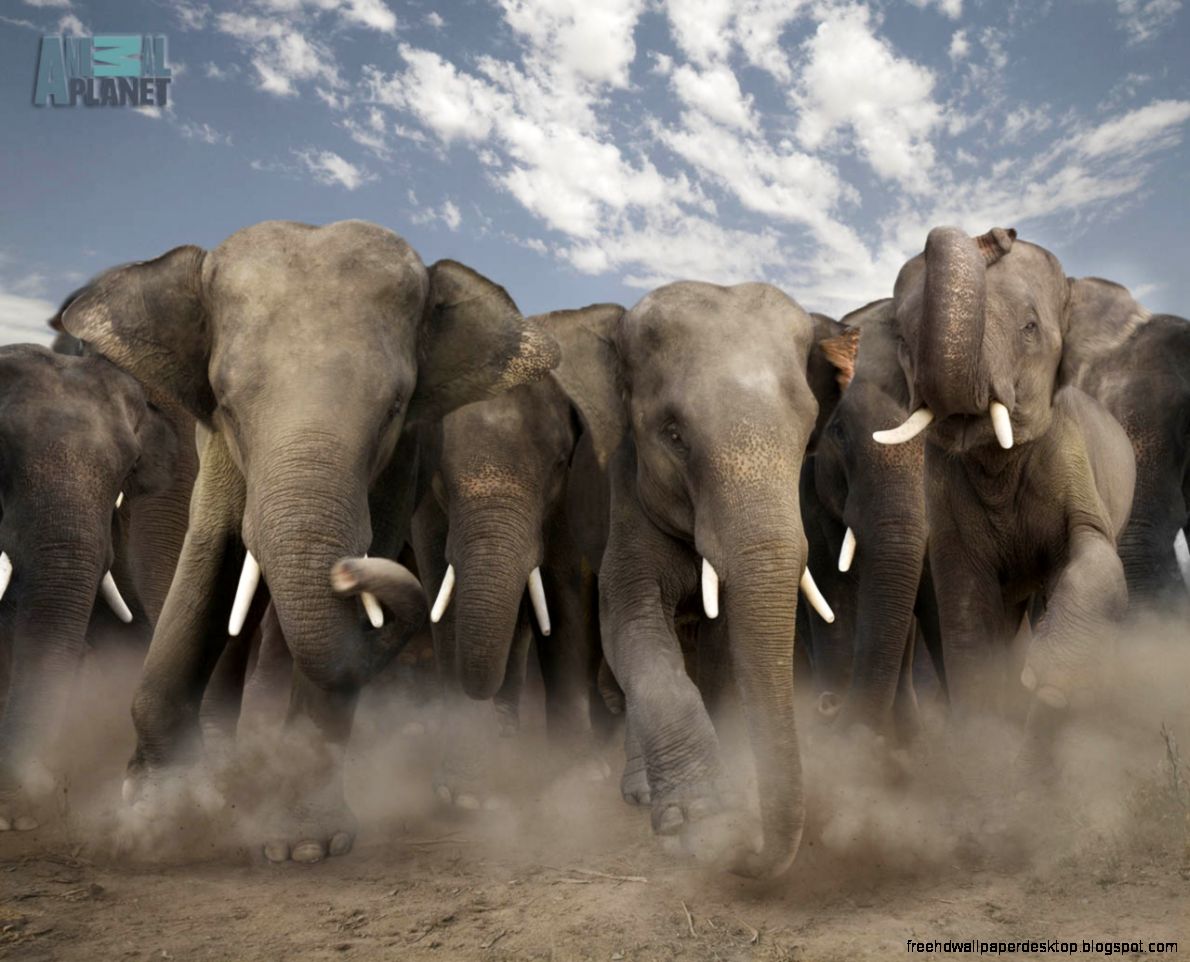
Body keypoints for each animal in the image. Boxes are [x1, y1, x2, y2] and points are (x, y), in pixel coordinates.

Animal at [59, 219, 560, 863]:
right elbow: (210, 556)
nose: (347, 572)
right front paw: (153, 810)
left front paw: (303, 848)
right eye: (226, 403)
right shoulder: (216, 447)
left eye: (395, 408)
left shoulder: (402, 461)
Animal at [537, 282, 839, 879]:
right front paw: (702, 819)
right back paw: (639, 793)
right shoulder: (624, 494)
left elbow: (721, 646)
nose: (746, 858)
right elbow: (630, 622)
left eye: (805, 434)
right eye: (673, 435)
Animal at [874, 226, 1136, 724]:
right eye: (904, 340)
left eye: (1030, 328)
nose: (999, 234)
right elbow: (965, 605)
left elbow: (1096, 551)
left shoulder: (1071, 450)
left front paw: (1047, 684)